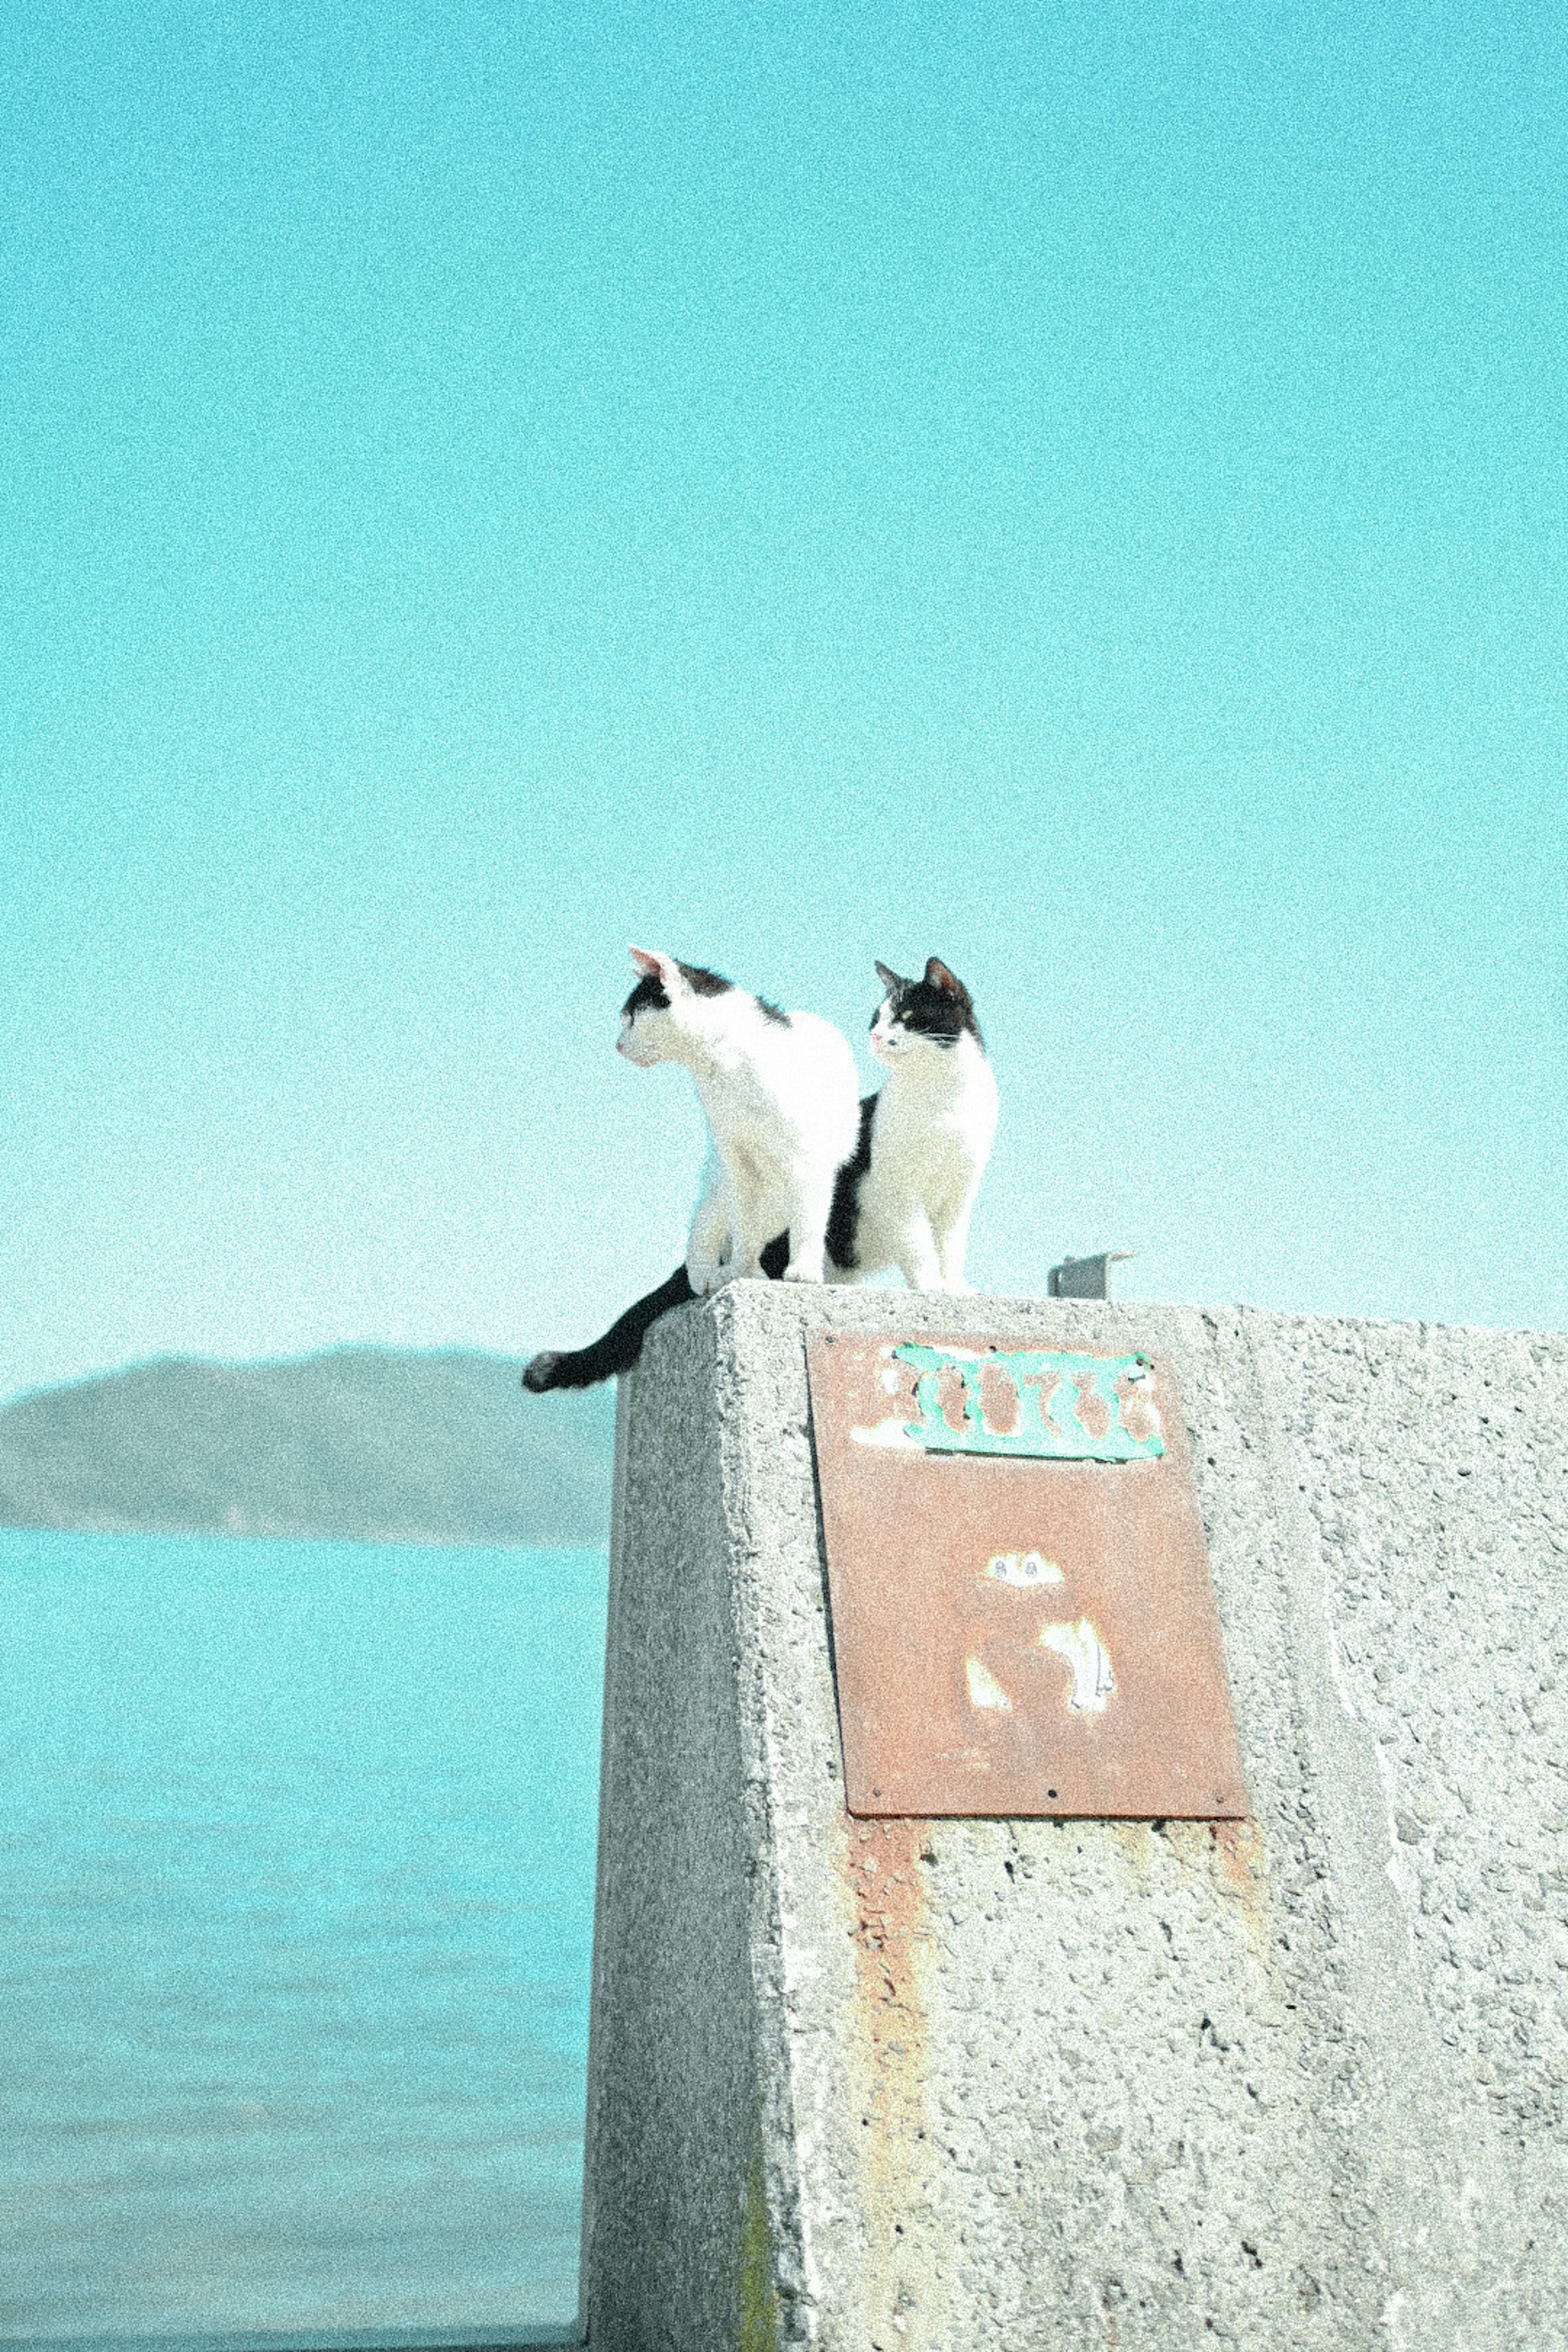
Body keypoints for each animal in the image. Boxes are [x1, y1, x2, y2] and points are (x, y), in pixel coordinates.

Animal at [522, 960, 1001, 1392]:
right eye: (876, 1019)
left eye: (907, 1018)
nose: (876, 1037)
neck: (943, 1103)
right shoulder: (893, 1191)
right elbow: (920, 1246)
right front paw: (931, 1288)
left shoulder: (962, 1193)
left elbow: (951, 1246)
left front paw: (955, 1289)